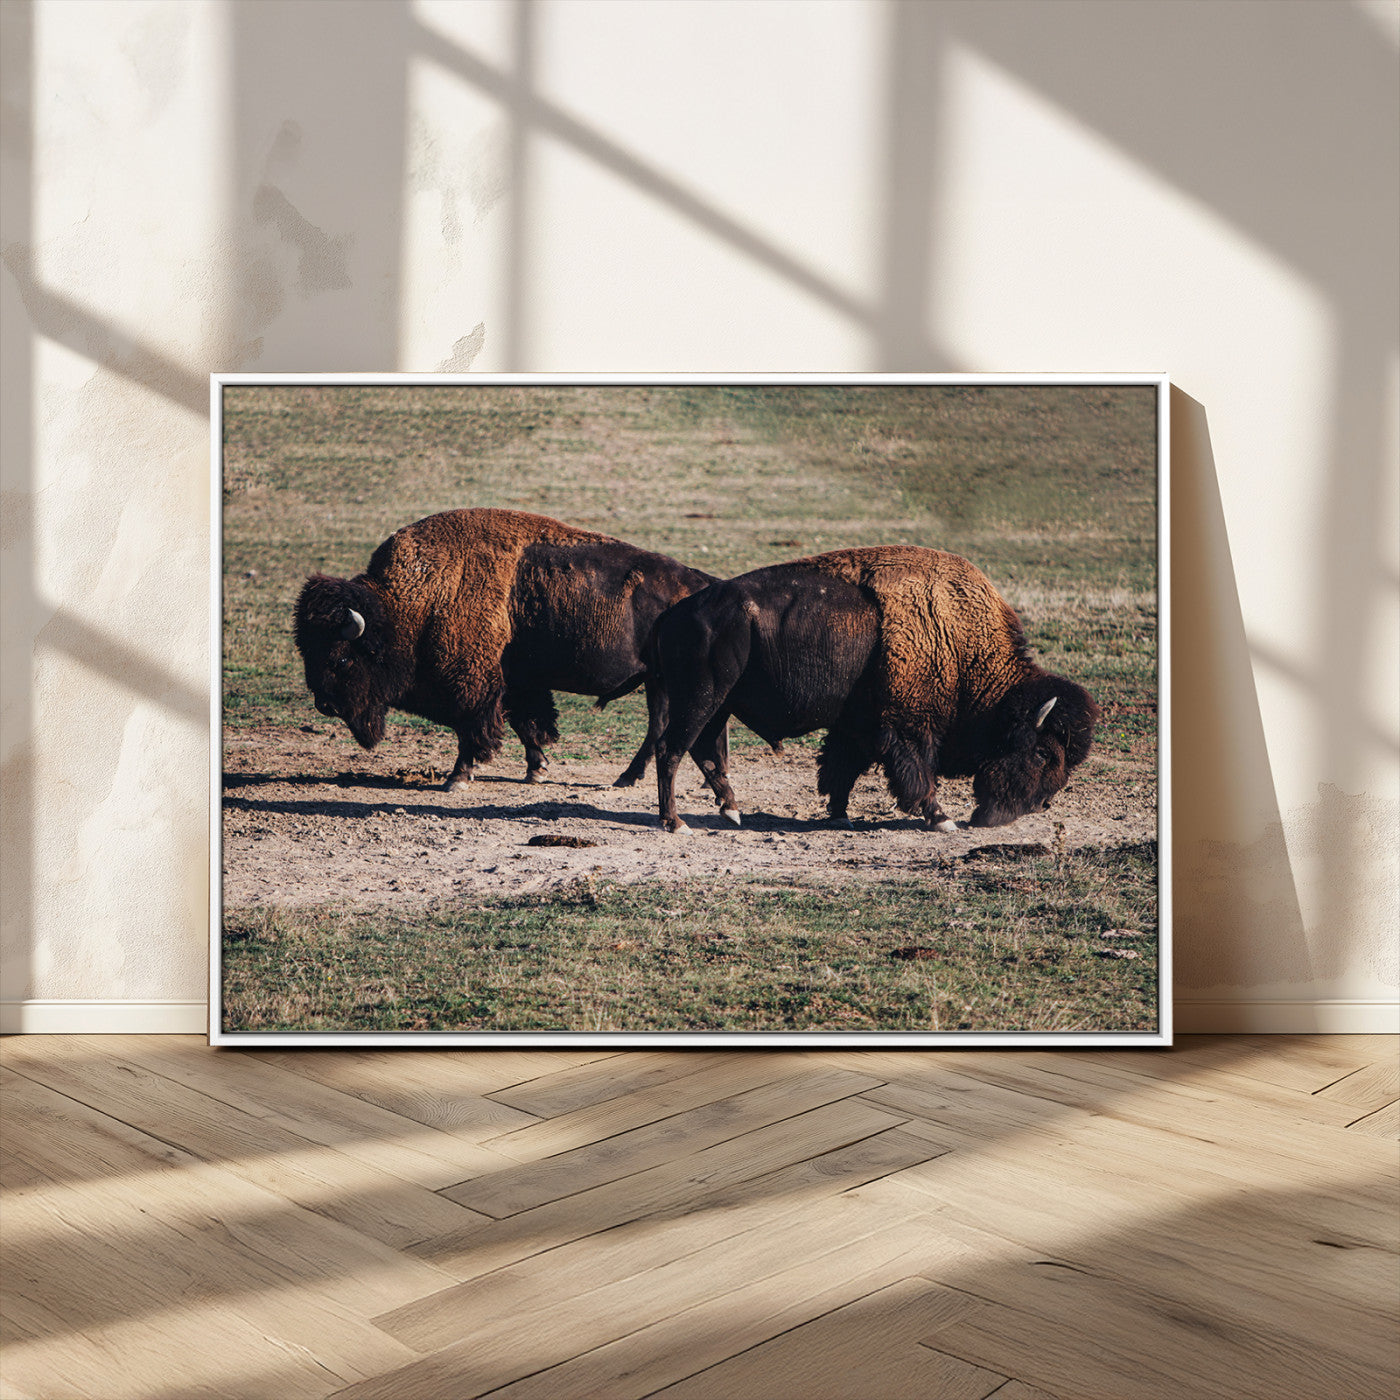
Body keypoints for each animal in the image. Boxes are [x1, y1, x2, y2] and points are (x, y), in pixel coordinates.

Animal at [294, 508, 716, 788]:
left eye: (342, 658)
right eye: (306, 651)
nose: (324, 704)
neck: (413, 603)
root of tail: (703, 584)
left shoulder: (474, 686)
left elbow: (473, 729)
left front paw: (457, 778)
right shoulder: (516, 682)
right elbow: (526, 723)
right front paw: (536, 770)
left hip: (662, 681)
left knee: (659, 726)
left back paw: (627, 778)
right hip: (657, 681)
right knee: (659, 725)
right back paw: (628, 777)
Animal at [648, 546, 1100, 833]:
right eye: (1042, 753)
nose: (1041, 804)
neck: (958, 643)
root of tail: (675, 613)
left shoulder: (857, 726)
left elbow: (841, 768)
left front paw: (839, 815)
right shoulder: (907, 727)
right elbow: (917, 773)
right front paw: (942, 819)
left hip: (719, 705)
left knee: (704, 751)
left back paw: (731, 811)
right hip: (701, 700)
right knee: (671, 750)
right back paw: (676, 823)